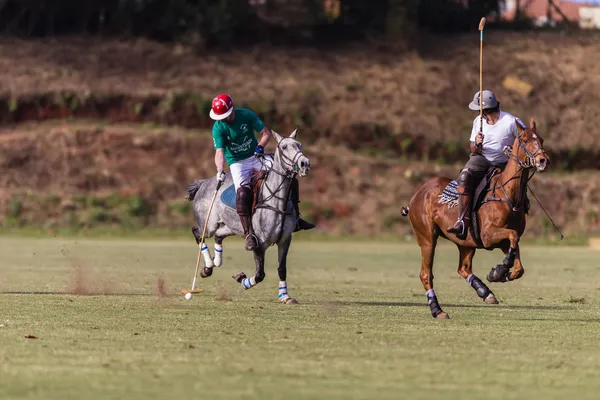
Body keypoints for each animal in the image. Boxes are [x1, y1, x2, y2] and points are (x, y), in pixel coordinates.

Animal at [186, 128, 310, 304]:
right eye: (284, 147)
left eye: (299, 145)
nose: (304, 164)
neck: (276, 201)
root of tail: (203, 183)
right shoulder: (260, 244)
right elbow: (260, 275)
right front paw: (241, 279)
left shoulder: (285, 240)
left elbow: (282, 269)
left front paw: (285, 296)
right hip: (208, 224)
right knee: (198, 233)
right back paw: (208, 267)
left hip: (231, 226)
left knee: (218, 235)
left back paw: (215, 262)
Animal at [404, 116, 548, 318]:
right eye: (525, 140)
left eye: (540, 139)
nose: (543, 160)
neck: (508, 194)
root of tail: (417, 194)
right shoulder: (488, 235)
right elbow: (512, 238)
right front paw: (501, 269)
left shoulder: (503, 240)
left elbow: (519, 265)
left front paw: (498, 273)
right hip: (427, 237)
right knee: (426, 274)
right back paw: (437, 310)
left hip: (465, 242)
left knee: (463, 268)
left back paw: (486, 292)